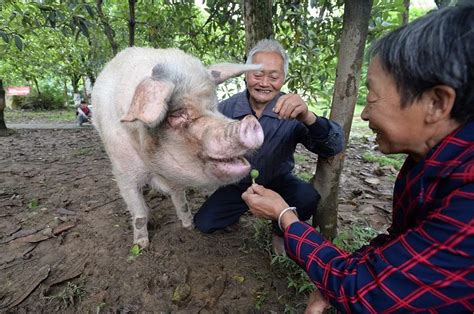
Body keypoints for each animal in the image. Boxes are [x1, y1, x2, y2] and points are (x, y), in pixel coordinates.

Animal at [90, 47, 264, 248]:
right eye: (177, 115)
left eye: (214, 107)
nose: (250, 121)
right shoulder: (123, 173)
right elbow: (138, 212)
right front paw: (141, 245)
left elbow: (181, 200)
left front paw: (189, 227)